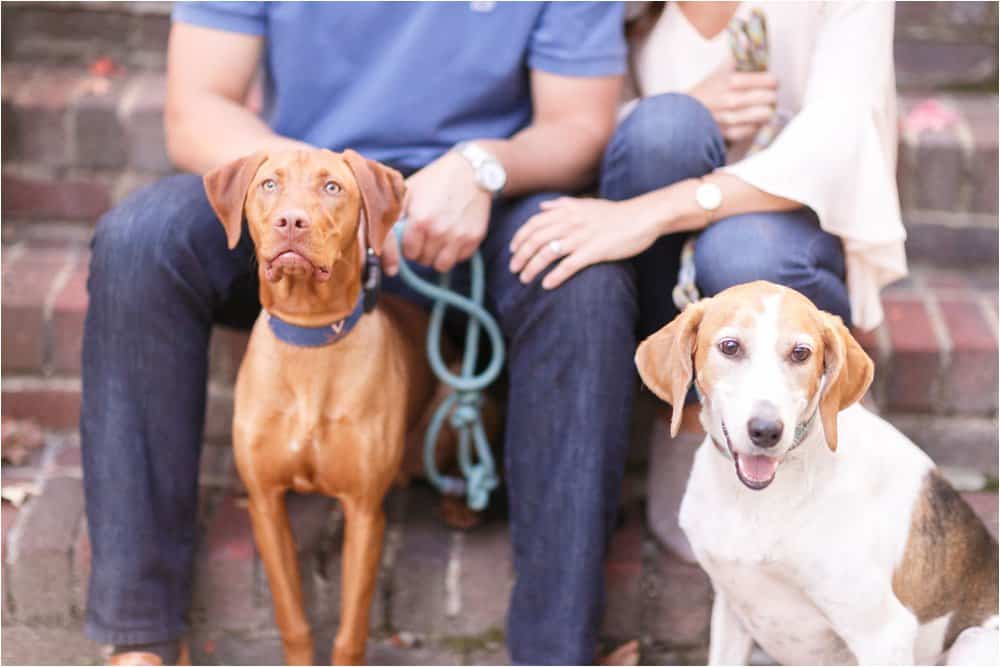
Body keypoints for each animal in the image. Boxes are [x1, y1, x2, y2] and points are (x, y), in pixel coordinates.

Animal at [203, 149, 438, 664]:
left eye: (332, 188)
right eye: (269, 185)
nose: (292, 221)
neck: (309, 332)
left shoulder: (365, 512)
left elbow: (351, 632)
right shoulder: (266, 504)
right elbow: (293, 619)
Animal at [636, 280, 996, 664]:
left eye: (800, 353)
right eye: (730, 347)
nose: (766, 431)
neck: (756, 500)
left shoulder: (884, 633)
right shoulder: (730, 608)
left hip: (972, 642)